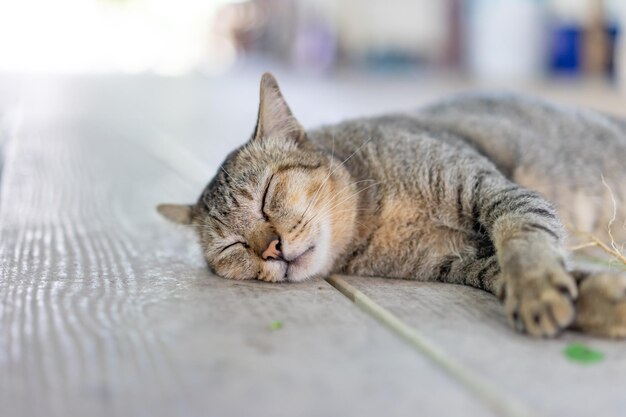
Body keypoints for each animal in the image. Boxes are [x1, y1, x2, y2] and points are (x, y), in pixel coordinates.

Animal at [158, 72, 624, 338]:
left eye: (267, 196)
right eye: (232, 246)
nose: (270, 248)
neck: (378, 217)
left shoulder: (496, 190)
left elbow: (523, 237)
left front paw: (536, 285)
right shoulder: (459, 261)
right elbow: (504, 272)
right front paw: (598, 300)